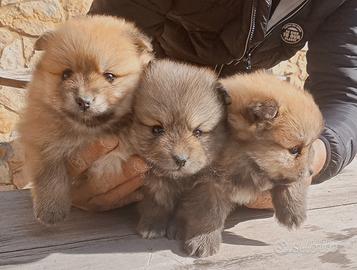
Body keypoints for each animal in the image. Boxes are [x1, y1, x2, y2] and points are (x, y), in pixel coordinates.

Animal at [18, 14, 152, 226]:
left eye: (109, 76)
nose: (83, 101)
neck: (90, 132)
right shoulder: (40, 137)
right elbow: (50, 173)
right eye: (66, 74)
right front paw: (51, 210)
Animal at [174, 72, 324, 258]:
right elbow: (208, 213)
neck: (244, 156)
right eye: (294, 150)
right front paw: (203, 240)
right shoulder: (207, 183)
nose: (311, 171)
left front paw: (293, 212)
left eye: (310, 146)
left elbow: (289, 181)